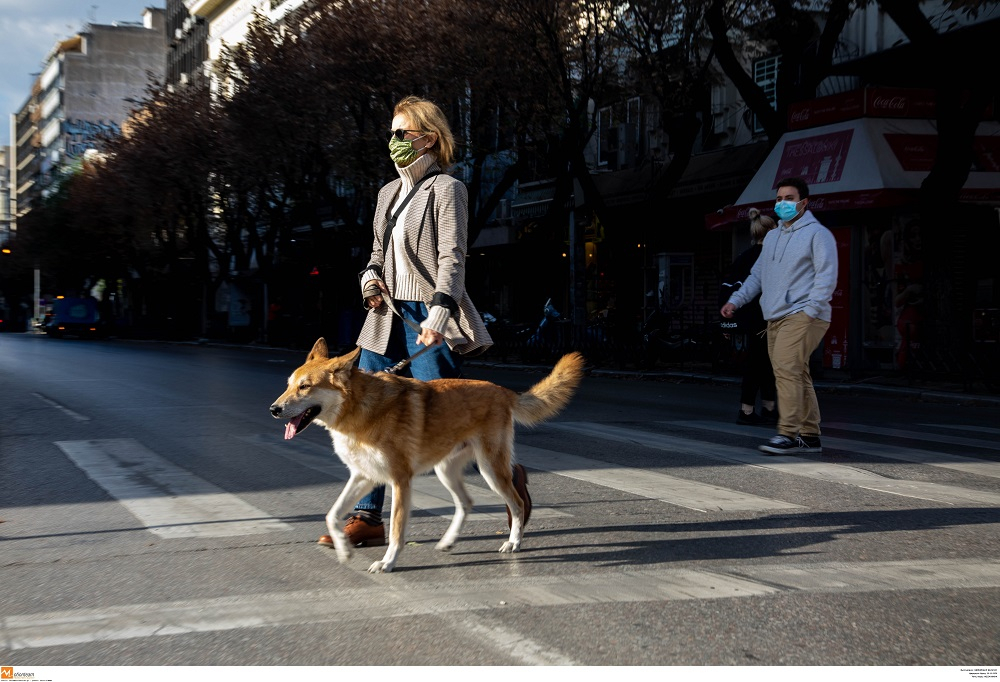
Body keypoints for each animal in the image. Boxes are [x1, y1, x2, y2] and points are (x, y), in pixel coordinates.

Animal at [274, 338, 584, 572]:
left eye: (305, 386)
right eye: (288, 384)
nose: (273, 409)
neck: (360, 409)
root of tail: (503, 391)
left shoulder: (400, 481)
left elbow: (397, 531)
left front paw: (388, 562)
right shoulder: (364, 476)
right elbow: (332, 514)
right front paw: (345, 550)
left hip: (489, 469)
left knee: (517, 503)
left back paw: (514, 542)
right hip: (446, 471)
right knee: (466, 503)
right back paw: (448, 541)